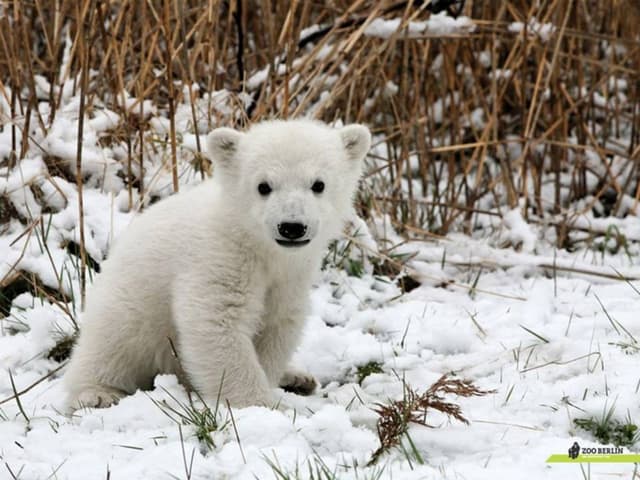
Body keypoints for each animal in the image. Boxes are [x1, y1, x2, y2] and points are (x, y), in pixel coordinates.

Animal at [63, 119, 371, 410]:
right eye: (263, 186)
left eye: (318, 184)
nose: (292, 227)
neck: (256, 244)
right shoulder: (218, 258)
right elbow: (216, 322)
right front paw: (260, 405)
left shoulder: (291, 276)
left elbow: (277, 324)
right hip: (128, 308)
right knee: (111, 346)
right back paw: (97, 393)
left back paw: (298, 377)